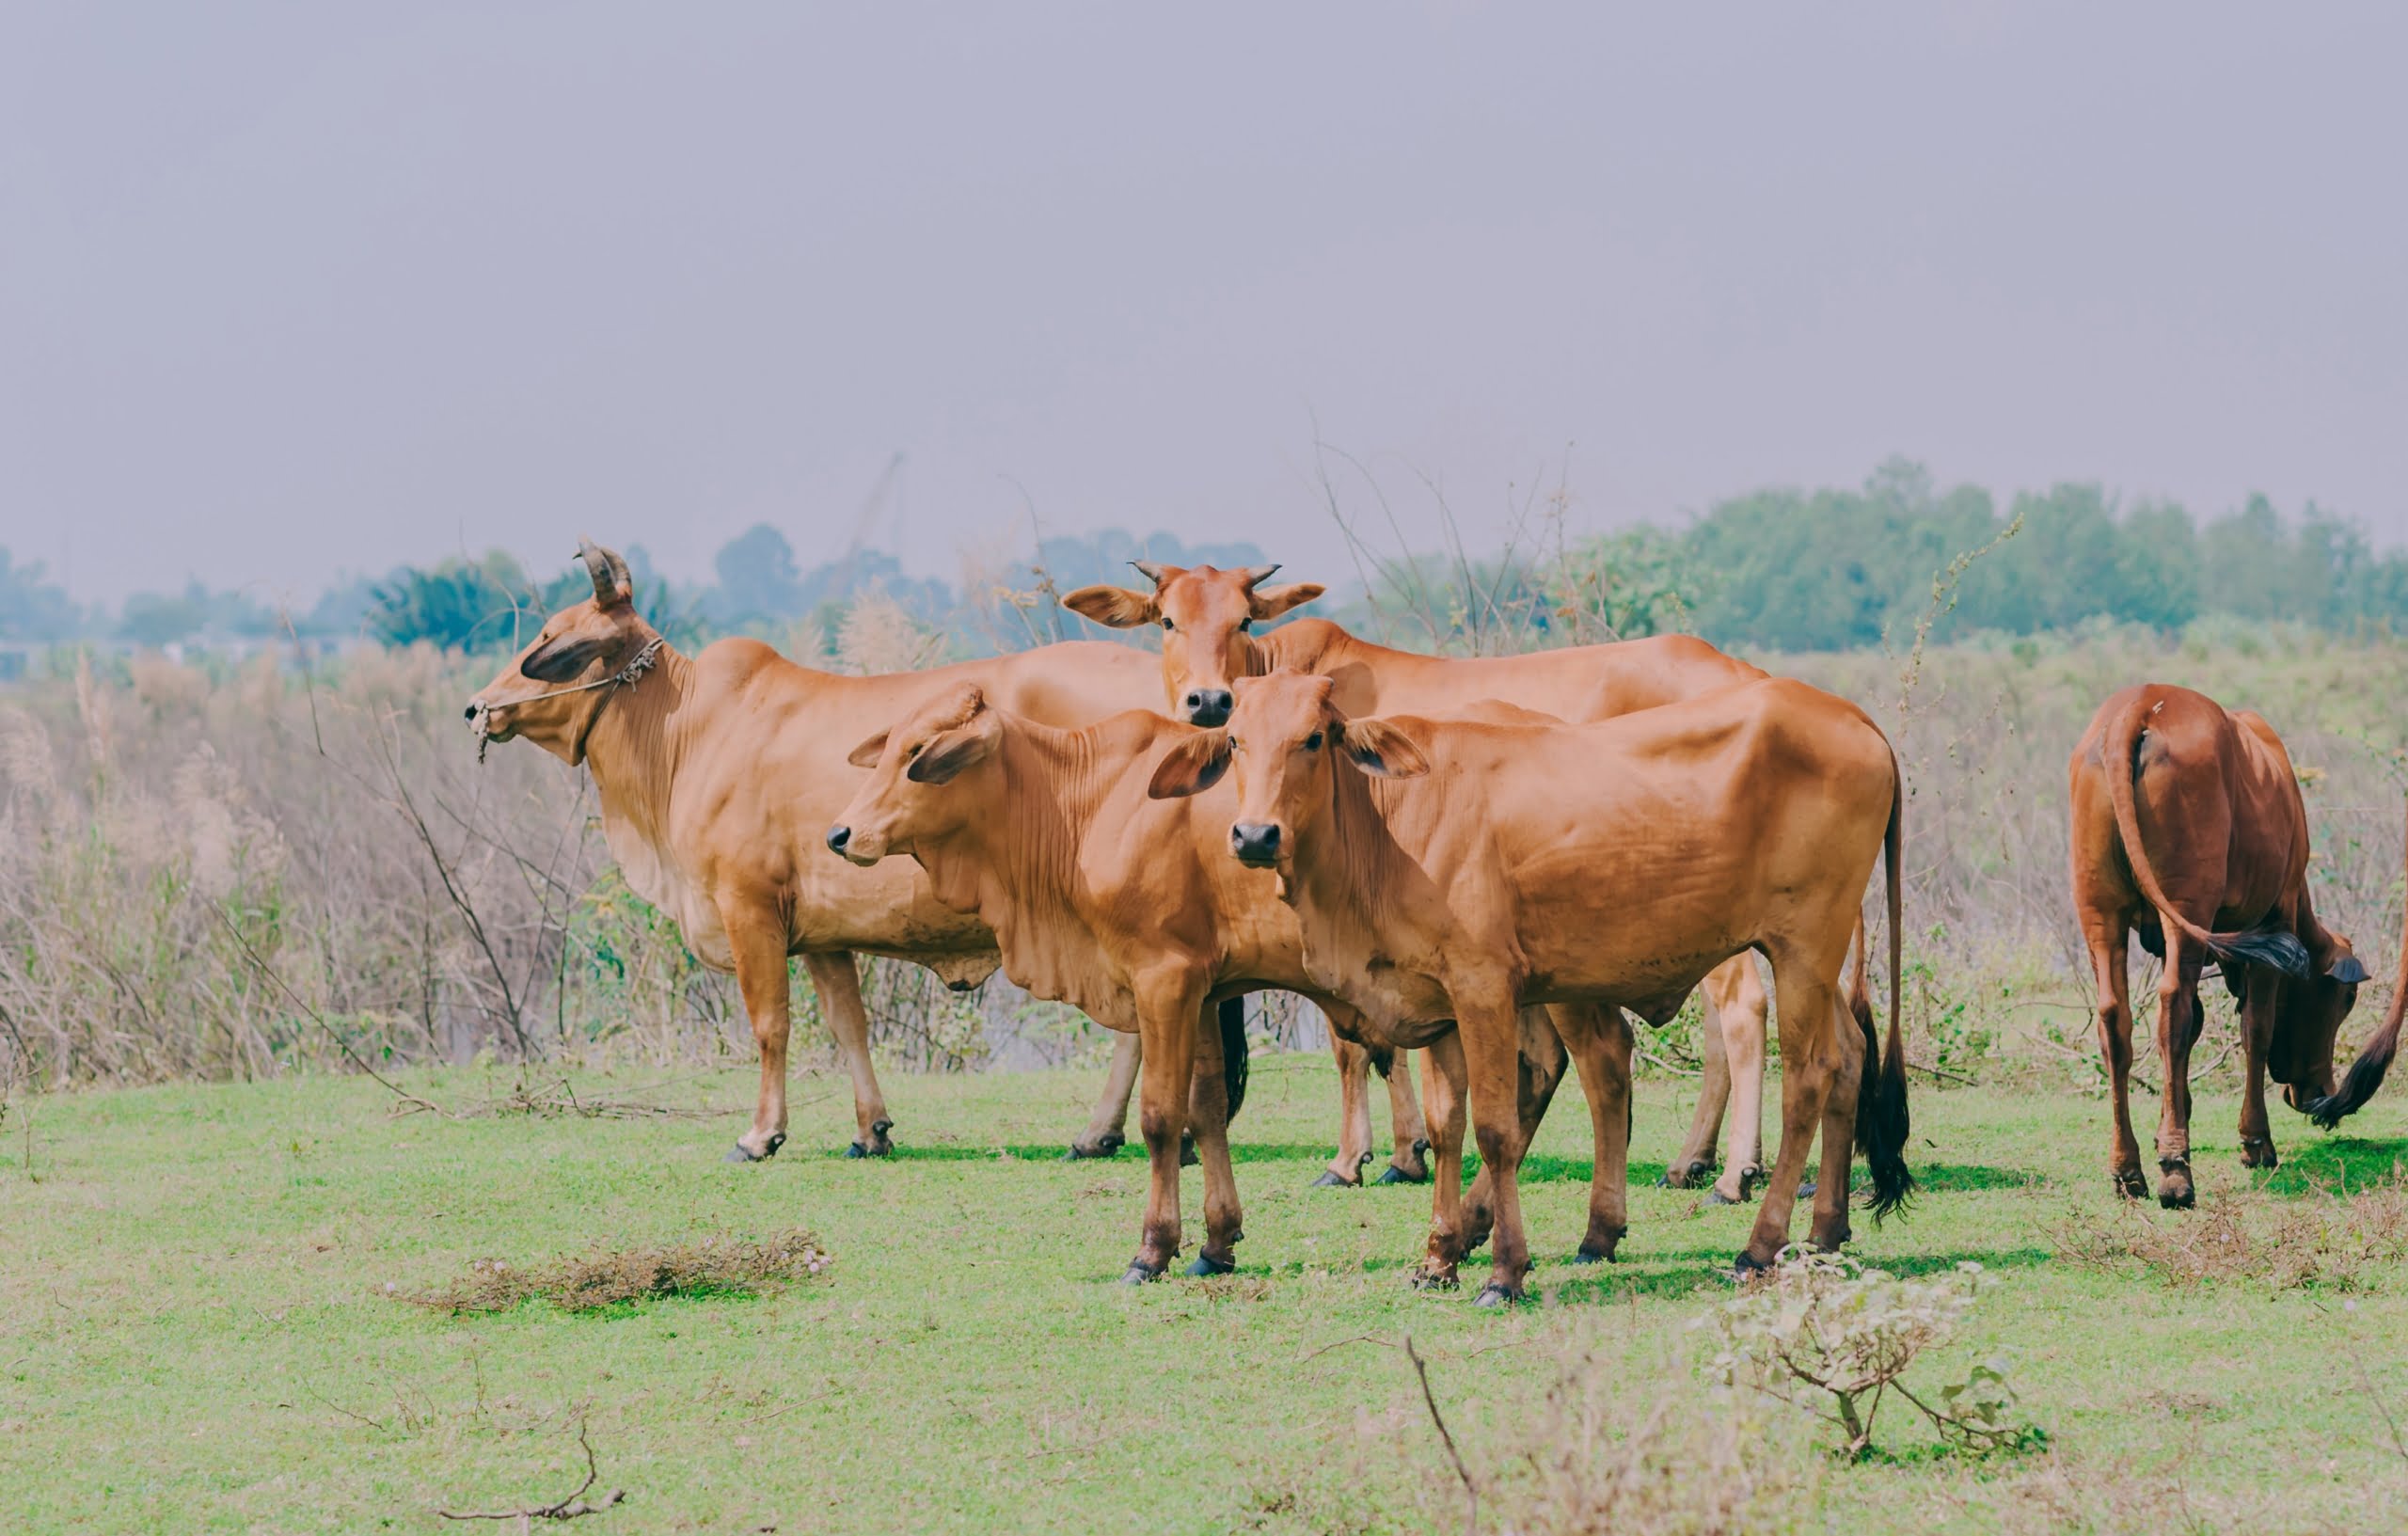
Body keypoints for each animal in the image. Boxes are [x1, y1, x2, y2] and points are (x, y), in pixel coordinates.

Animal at [459, 548, 1175, 1160]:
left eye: (550, 636)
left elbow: (769, 1023)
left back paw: (1104, 1131)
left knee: (1136, 1025)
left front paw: (760, 1135)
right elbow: (847, 1025)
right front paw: (871, 1130)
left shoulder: (747, 907)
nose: (476, 706)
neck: (686, 730)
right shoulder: (823, 932)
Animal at [818, 693, 1627, 1290]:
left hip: (1558, 979)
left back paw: (1581, 1232)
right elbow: (1206, 1111)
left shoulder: (1163, 977)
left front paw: (1152, 1249)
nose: (839, 833)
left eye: (919, 757)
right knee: (1557, 1072)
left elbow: (1158, 1116)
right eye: (889, 748)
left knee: (1593, 1069)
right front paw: (1217, 1241)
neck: (1086, 799)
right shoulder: (1208, 988)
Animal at [1064, 558, 1830, 1208]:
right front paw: (1405, 1153)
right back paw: (1700, 1161)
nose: (1209, 700)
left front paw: (1357, 1159)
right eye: (1167, 620)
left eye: (1244, 620)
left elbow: (1355, 1043)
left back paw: (1733, 1173)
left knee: (1743, 1013)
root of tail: (1743, 669)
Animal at [1155, 669, 1907, 1300]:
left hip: (1802, 947)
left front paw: (1503, 1271)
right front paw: (1439, 1257)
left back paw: (1759, 1245)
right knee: (1848, 1059)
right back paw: (1824, 1232)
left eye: (1313, 738)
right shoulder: (1437, 1001)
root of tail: (1856, 717)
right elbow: (1446, 1124)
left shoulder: (1483, 988)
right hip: (1815, 960)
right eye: (1236, 741)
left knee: (1808, 1076)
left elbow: (1493, 1128)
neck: (1390, 822)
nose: (1255, 835)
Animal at [2061, 693, 2379, 1208]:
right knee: (2172, 1010)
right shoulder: (2275, 920)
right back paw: (2176, 1171)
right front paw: (2256, 1142)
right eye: (2345, 1000)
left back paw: (2128, 1168)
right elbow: (2256, 1029)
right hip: (2187, 908)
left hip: (2100, 912)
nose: (2318, 1093)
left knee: (2116, 1019)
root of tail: (2138, 706)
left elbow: (2196, 1027)